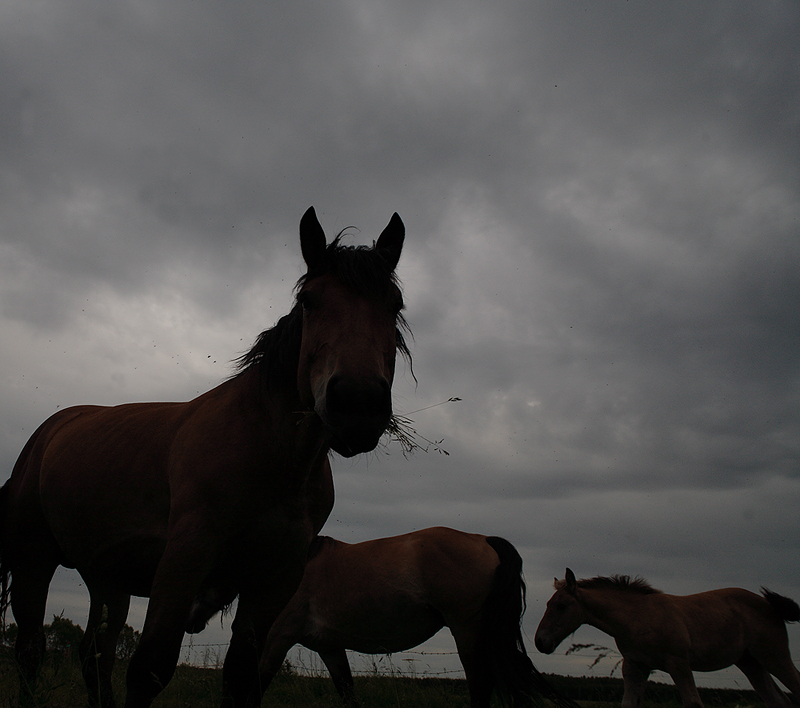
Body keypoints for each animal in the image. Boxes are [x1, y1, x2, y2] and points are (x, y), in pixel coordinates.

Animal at [0, 206, 410, 708]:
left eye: (394, 305)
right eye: (309, 300)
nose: (357, 403)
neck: (273, 459)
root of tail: (47, 433)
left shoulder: (273, 579)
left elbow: (241, 678)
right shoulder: (185, 558)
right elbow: (149, 669)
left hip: (106, 580)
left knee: (93, 656)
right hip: (34, 561)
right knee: (30, 651)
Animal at [187, 527, 580, 708]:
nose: (188, 620)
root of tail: (484, 539)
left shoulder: (276, 640)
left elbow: (253, 689)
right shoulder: (330, 648)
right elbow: (347, 693)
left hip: (468, 634)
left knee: (481, 685)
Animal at [535, 568, 800, 708]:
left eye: (561, 606)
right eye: (547, 604)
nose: (540, 642)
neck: (637, 618)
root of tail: (769, 604)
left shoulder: (678, 664)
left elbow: (693, 703)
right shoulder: (635, 666)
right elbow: (628, 703)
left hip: (774, 656)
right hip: (750, 662)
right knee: (778, 701)